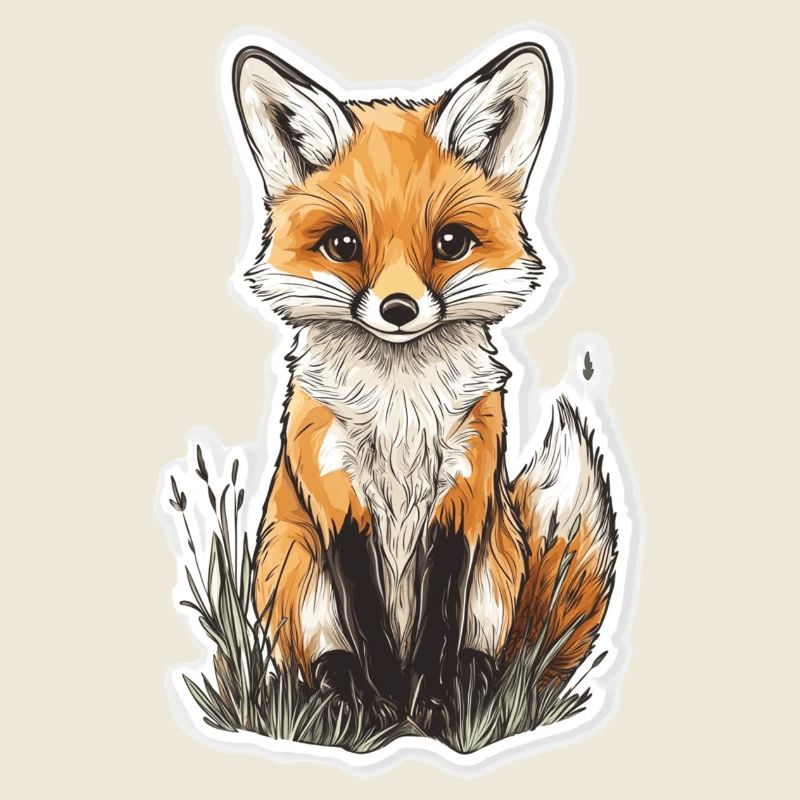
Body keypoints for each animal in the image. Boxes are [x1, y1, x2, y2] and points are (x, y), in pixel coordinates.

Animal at [232, 42, 617, 732]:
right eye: (342, 244)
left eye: (450, 241)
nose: (399, 309)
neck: (400, 408)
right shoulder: (333, 486)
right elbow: (366, 613)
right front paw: (387, 702)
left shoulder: (464, 485)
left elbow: (441, 609)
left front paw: (431, 699)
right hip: (295, 576)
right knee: (323, 657)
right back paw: (347, 696)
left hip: (497, 572)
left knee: (485, 651)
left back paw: (471, 688)